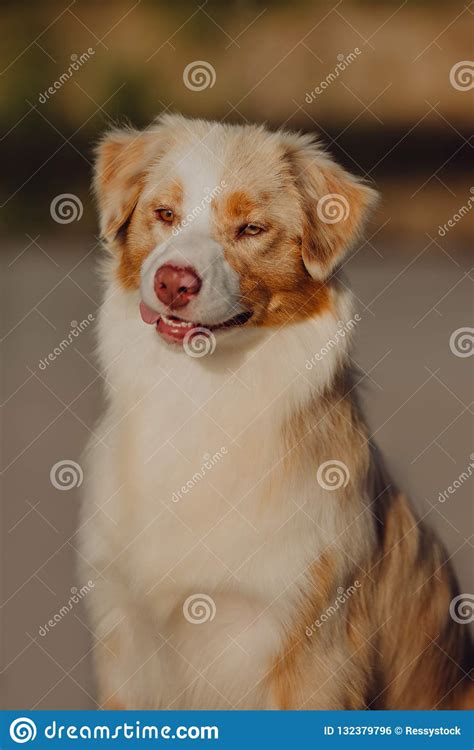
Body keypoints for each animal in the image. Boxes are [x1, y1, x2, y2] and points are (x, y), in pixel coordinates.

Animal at [79, 113, 472, 712]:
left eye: (251, 229)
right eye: (164, 213)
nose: (173, 281)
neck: (198, 395)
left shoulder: (312, 649)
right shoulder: (123, 638)